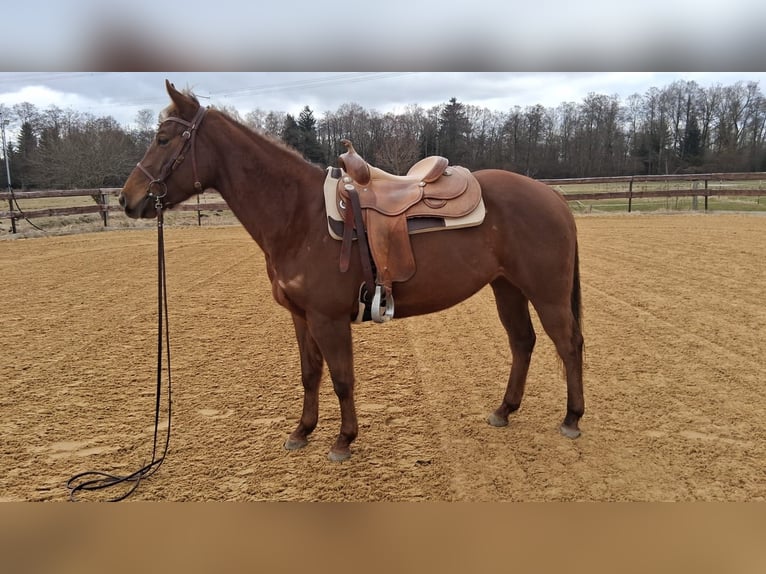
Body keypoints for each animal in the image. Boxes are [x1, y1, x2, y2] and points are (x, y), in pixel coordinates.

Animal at [118, 80, 584, 462]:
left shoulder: (329, 318)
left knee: (568, 344)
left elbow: (342, 378)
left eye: (163, 139)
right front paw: (301, 432)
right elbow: (310, 374)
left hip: (546, 292)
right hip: (507, 287)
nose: (127, 199)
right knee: (522, 342)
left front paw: (343, 440)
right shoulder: (301, 316)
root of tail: (553, 198)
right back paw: (505, 410)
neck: (298, 215)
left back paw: (572, 418)